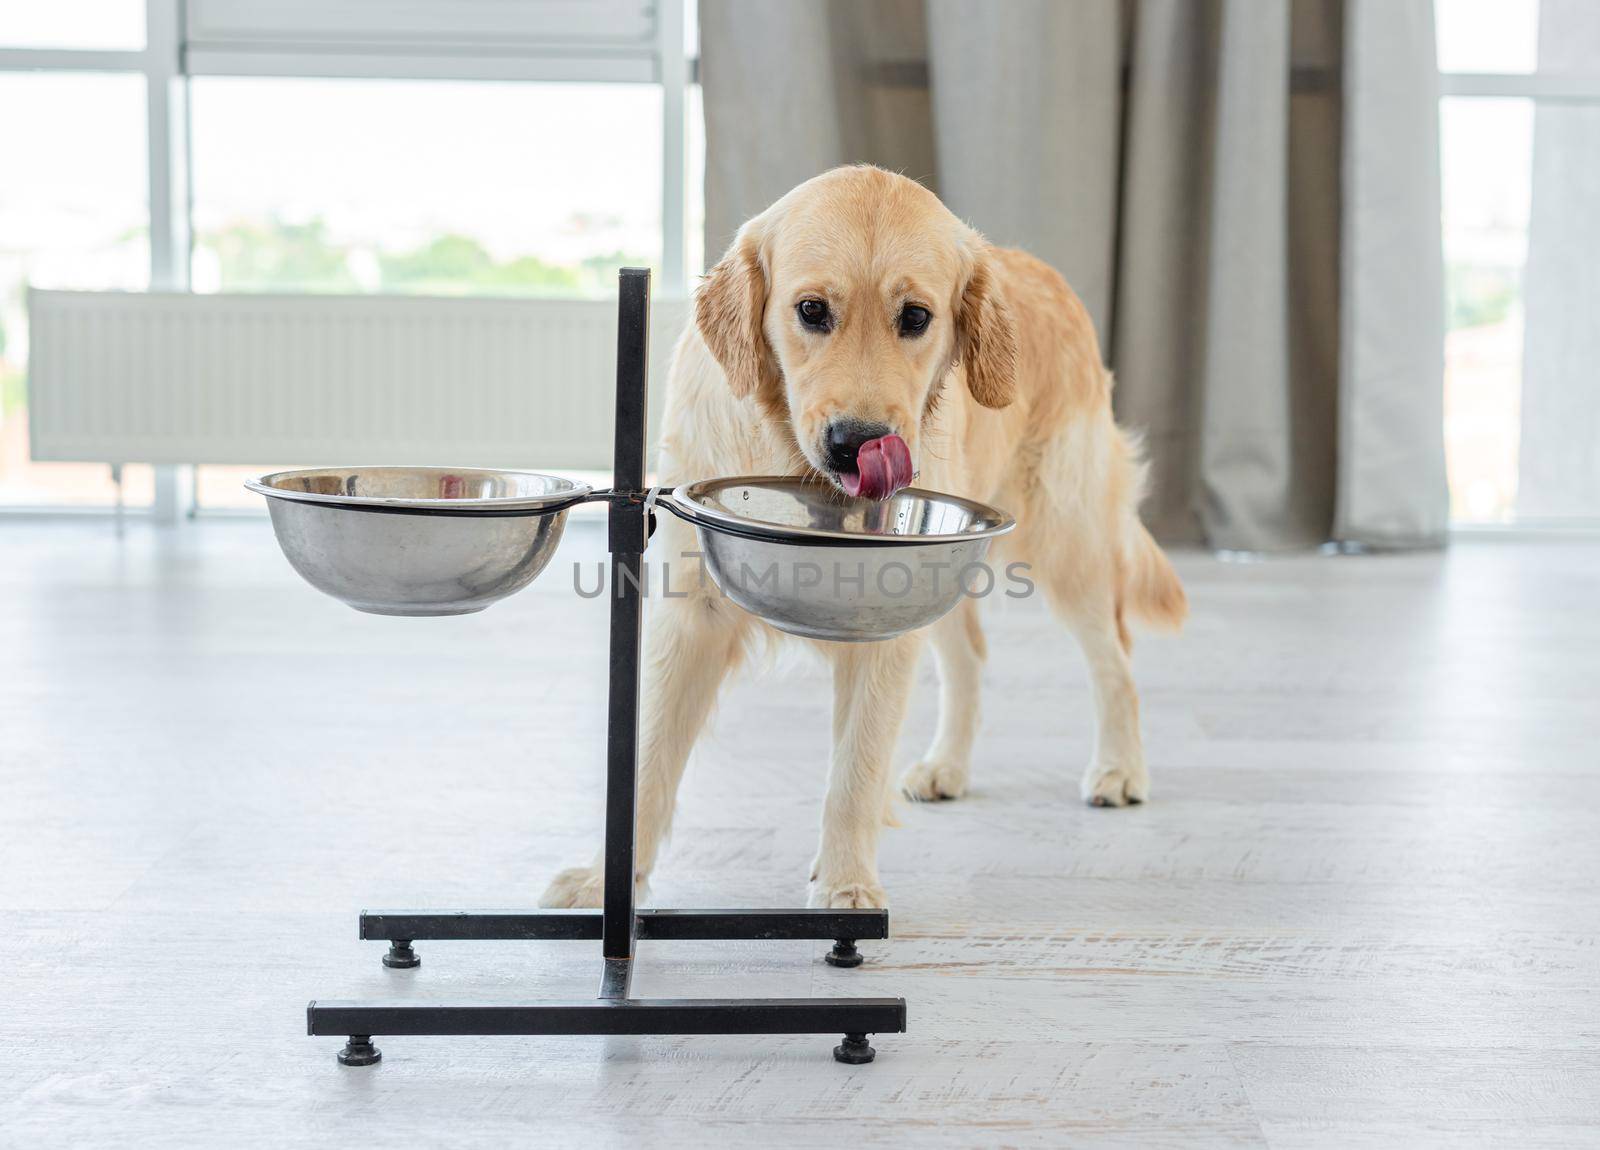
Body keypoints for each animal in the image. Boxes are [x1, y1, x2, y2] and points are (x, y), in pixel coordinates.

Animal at [544, 166, 1184, 914]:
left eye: (915, 317)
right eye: (811, 310)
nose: (856, 444)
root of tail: (1052, 279)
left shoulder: (885, 617)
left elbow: (855, 769)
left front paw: (846, 885)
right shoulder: (692, 614)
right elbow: (647, 759)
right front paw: (604, 882)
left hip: (1066, 539)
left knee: (1115, 660)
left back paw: (1118, 768)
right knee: (970, 657)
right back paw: (947, 765)